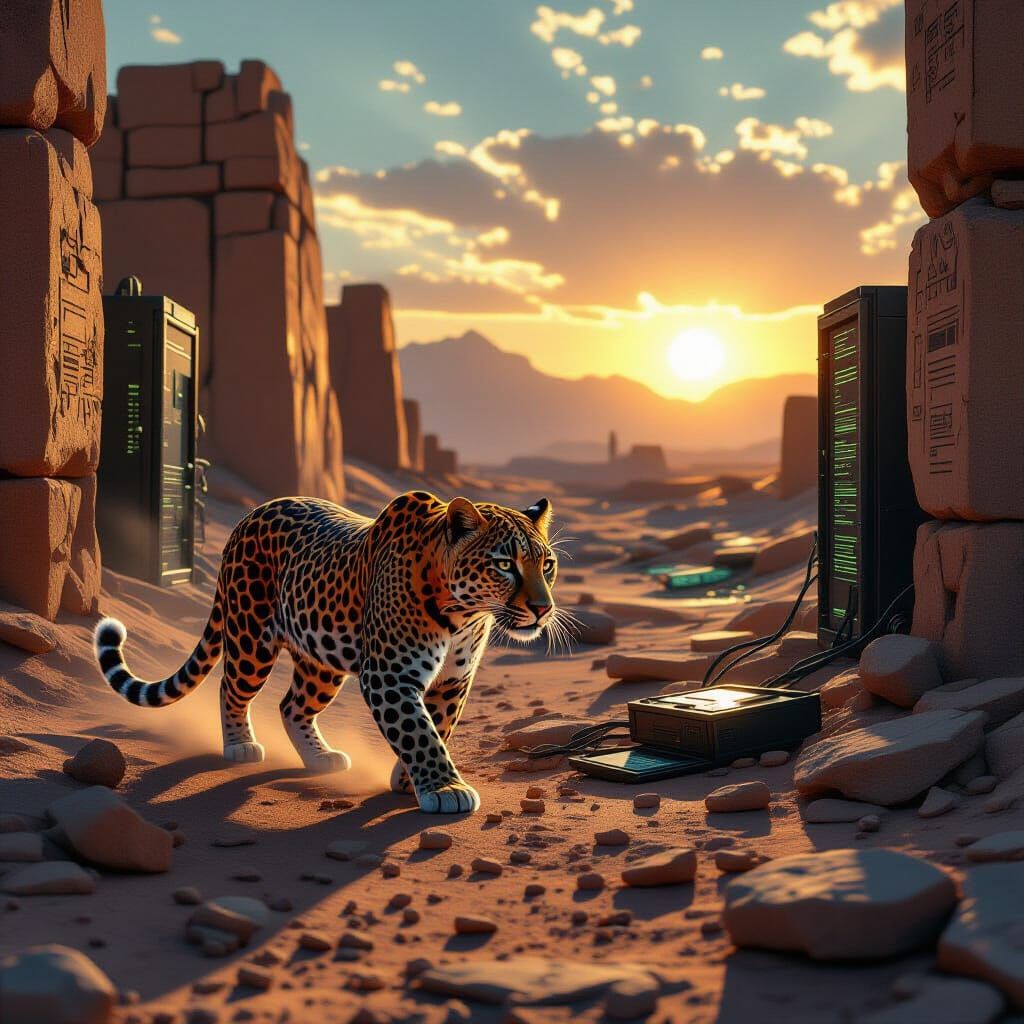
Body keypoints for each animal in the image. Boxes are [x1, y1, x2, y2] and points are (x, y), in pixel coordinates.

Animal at [93, 491, 565, 813]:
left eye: (547, 565)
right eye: (504, 564)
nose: (543, 609)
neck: (463, 614)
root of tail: (249, 515)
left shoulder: (453, 680)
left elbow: (438, 726)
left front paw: (410, 781)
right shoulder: (390, 674)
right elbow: (418, 730)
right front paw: (445, 789)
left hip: (321, 662)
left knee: (291, 705)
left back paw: (320, 757)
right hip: (250, 639)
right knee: (231, 687)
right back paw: (240, 745)